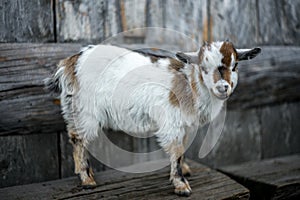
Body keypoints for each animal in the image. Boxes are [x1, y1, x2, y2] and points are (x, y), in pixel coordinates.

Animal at [45, 41, 262, 196]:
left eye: (235, 65)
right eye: (203, 67)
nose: (223, 87)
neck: (190, 83)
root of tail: (69, 63)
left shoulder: (185, 124)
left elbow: (183, 148)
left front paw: (185, 170)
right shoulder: (172, 122)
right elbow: (176, 151)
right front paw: (181, 185)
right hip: (84, 109)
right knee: (79, 139)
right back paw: (87, 180)